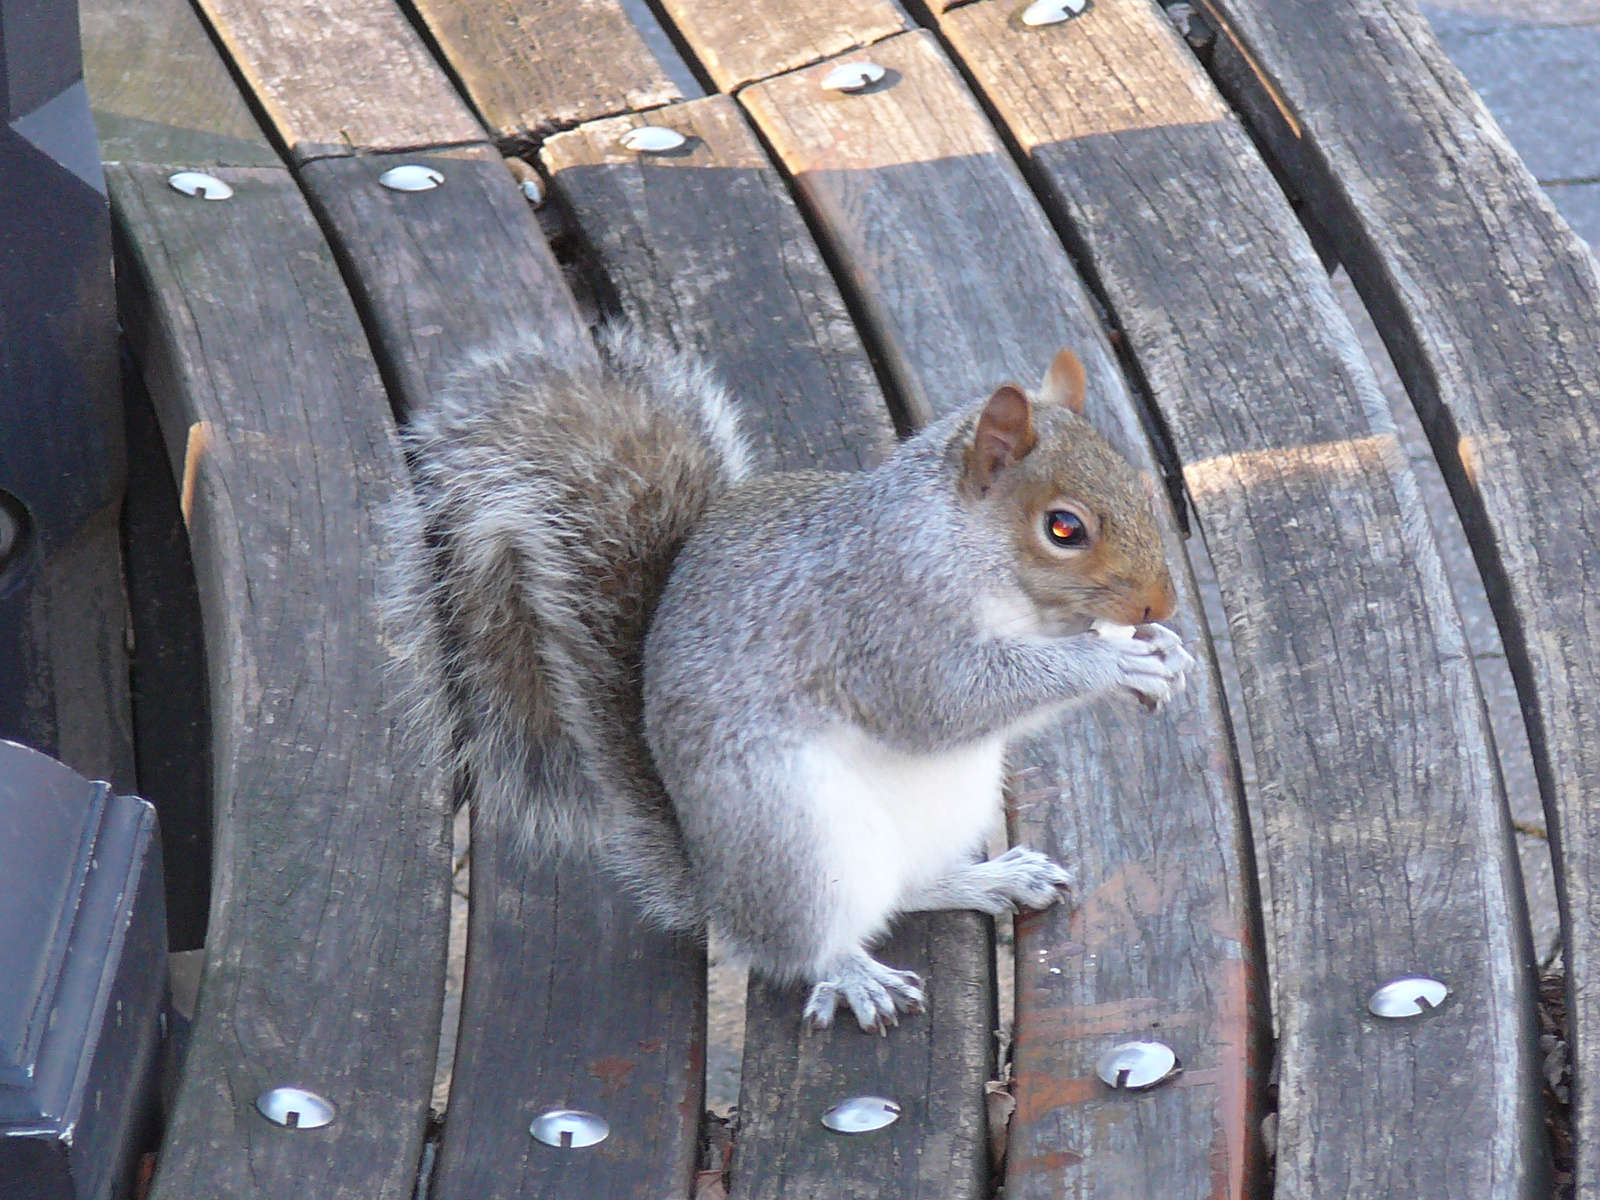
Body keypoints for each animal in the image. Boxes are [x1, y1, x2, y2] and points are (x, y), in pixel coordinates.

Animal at [384, 326, 1190, 1036]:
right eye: (1064, 529)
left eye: (1140, 484)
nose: (1161, 603)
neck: (962, 545)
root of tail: (715, 893)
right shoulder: (882, 624)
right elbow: (945, 701)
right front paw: (1109, 662)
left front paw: (1164, 650)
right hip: (795, 840)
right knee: (801, 945)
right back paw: (852, 973)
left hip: (951, 807)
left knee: (908, 888)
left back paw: (989, 879)